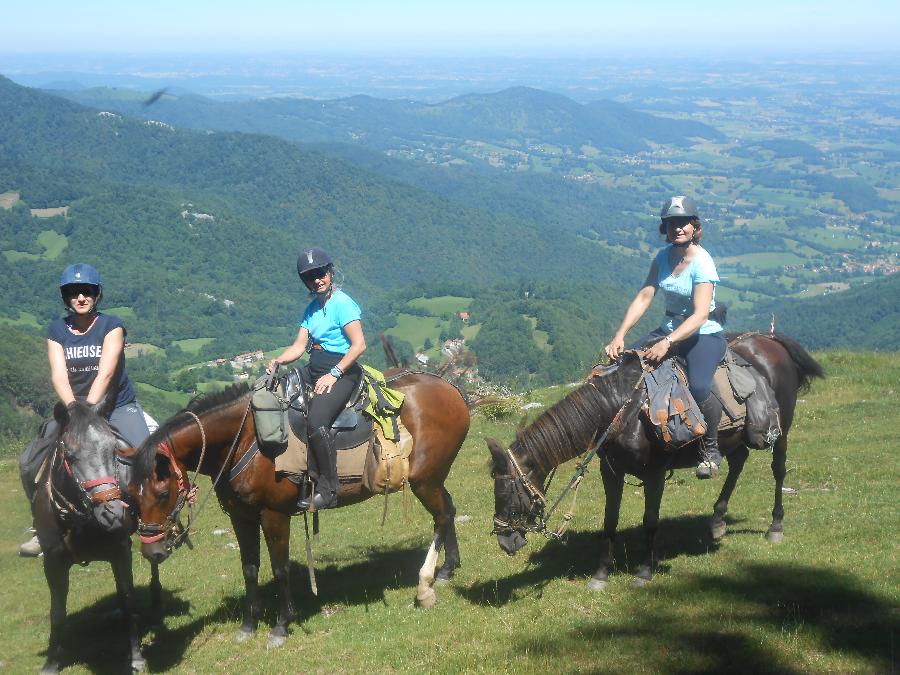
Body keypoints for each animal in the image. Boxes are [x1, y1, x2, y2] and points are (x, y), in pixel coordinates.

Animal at [132, 370, 472, 648]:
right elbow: (249, 569)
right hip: (433, 479)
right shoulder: (242, 517)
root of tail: (450, 388)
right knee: (449, 510)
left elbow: (280, 569)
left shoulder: (273, 515)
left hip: (425, 481)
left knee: (442, 517)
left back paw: (425, 586)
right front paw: (248, 625)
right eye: (132, 497)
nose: (152, 552)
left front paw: (281, 625)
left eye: (163, 493)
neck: (245, 439)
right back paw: (447, 568)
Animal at [488, 334, 828, 592]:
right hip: (735, 439)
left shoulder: (654, 474)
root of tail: (770, 340)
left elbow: (650, 521)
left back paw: (775, 526)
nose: (504, 542)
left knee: (778, 470)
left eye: (508, 491)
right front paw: (601, 574)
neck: (621, 410)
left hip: (781, 431)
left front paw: (644, 572)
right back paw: (717, 522)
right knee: (738, 462)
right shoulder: (610, 472)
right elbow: (609, 520)